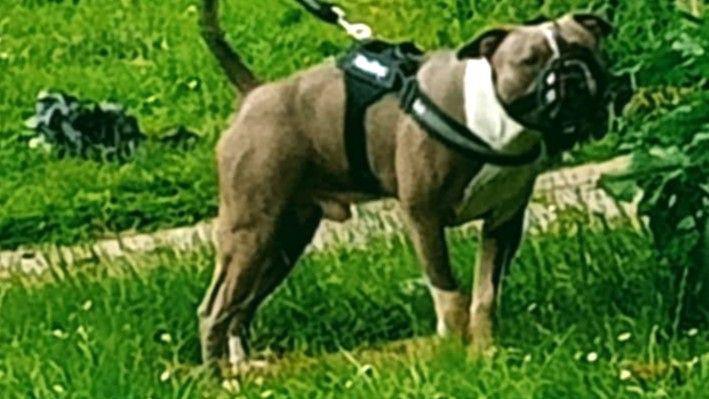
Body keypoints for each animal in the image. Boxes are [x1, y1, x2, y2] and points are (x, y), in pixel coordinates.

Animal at [195, 3, 612, 372]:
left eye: (585, 50)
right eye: (530, 61)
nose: (571, 72)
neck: (493, 121)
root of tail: (253, 93)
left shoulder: (504, 223)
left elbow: (485, 295)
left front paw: (485, 352)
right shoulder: (423, 217)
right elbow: (449, 296)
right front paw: (455, 354)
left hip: (283, 241)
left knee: (241, 307)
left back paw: (243, 366)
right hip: (251, 231)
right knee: (214, 309)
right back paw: (219, 377)